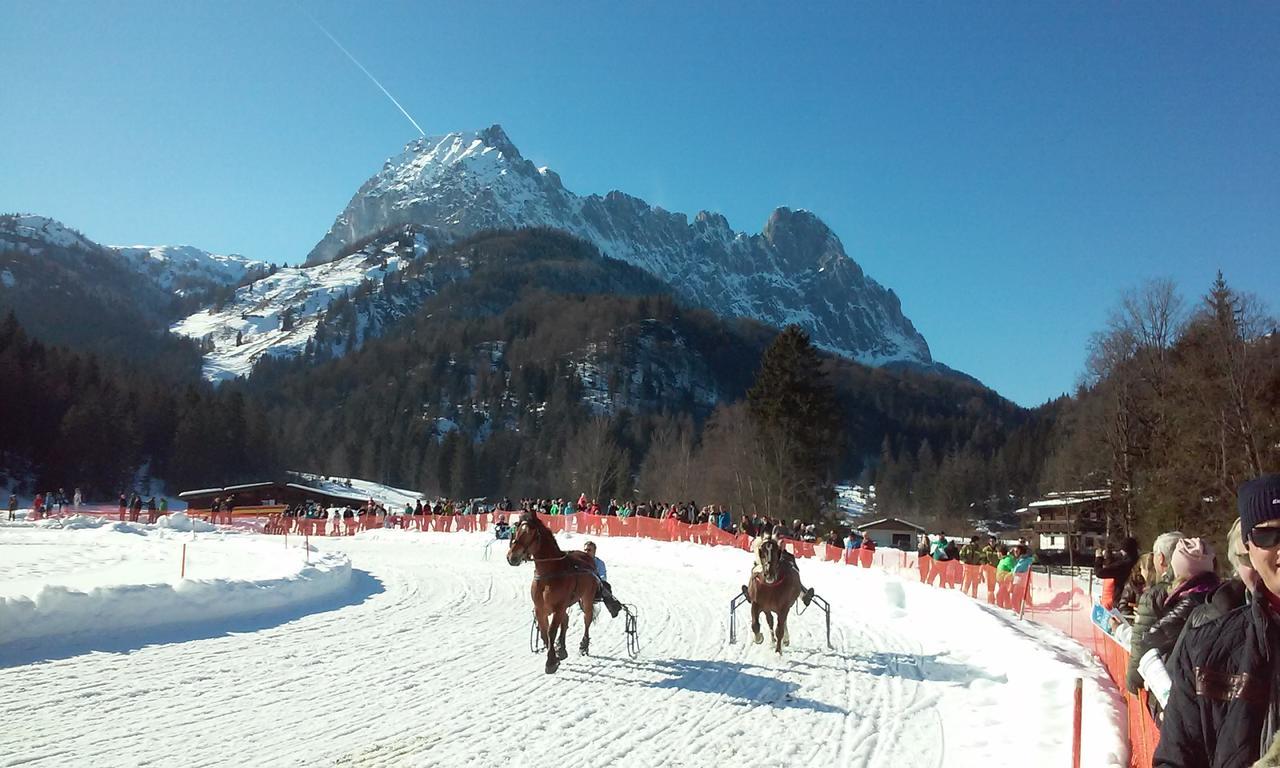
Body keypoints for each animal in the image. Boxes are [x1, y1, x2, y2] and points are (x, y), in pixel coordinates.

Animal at [504, 512, 599, 675]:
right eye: (516, 529)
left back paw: (584, 645)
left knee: (587, 618)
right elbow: (544, 632)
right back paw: (562, 647)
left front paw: (551, 662)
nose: (512, 557)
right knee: (566, 620)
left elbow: (551, 631)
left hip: (586, 598)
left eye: (530, 532)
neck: (549, 573)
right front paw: (555, 653)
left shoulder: (559, 607)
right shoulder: (540, 608)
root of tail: (588, 557)